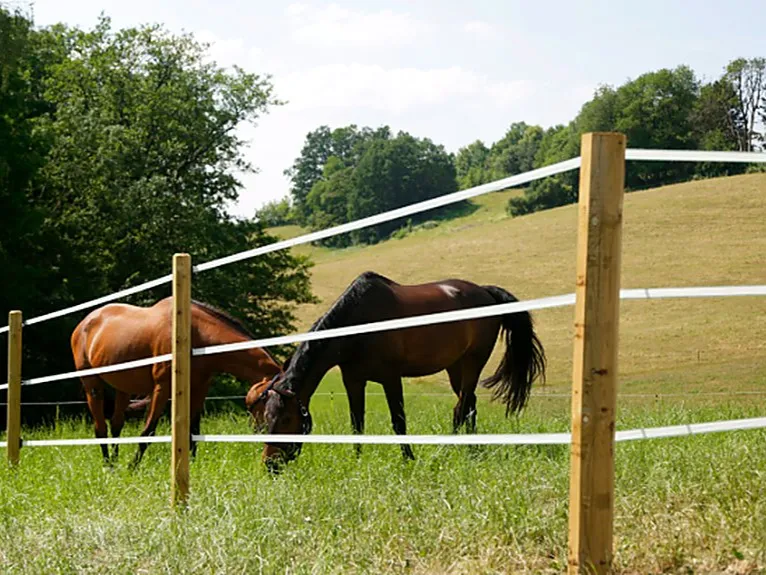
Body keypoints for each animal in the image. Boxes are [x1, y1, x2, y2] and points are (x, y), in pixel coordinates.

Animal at [70, 297, 282, 467]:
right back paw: (109, 467)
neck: (197, 334)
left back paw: (115, 463)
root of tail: (85, 323)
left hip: (123, 388)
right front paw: (133, 468)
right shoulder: (162, 388)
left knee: (116, 425)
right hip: (92, 385)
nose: (260, 430)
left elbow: (193, 433)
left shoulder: (199, 389)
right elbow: (147, 433)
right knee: (101, 428)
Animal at [255, 271, 546, 469]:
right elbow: (356, 424)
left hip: (473, 362)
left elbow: (399, 422)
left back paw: (448, 449)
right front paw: (357, 462)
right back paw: (472, 450)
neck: (358, 325)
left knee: (461, 408)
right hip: (456, 367)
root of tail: (486, 292)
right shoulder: (354, 380)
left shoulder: (391, 378)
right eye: (266, 417)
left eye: (287, 419)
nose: (270, 464)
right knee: (469, 404)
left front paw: (409, 460)